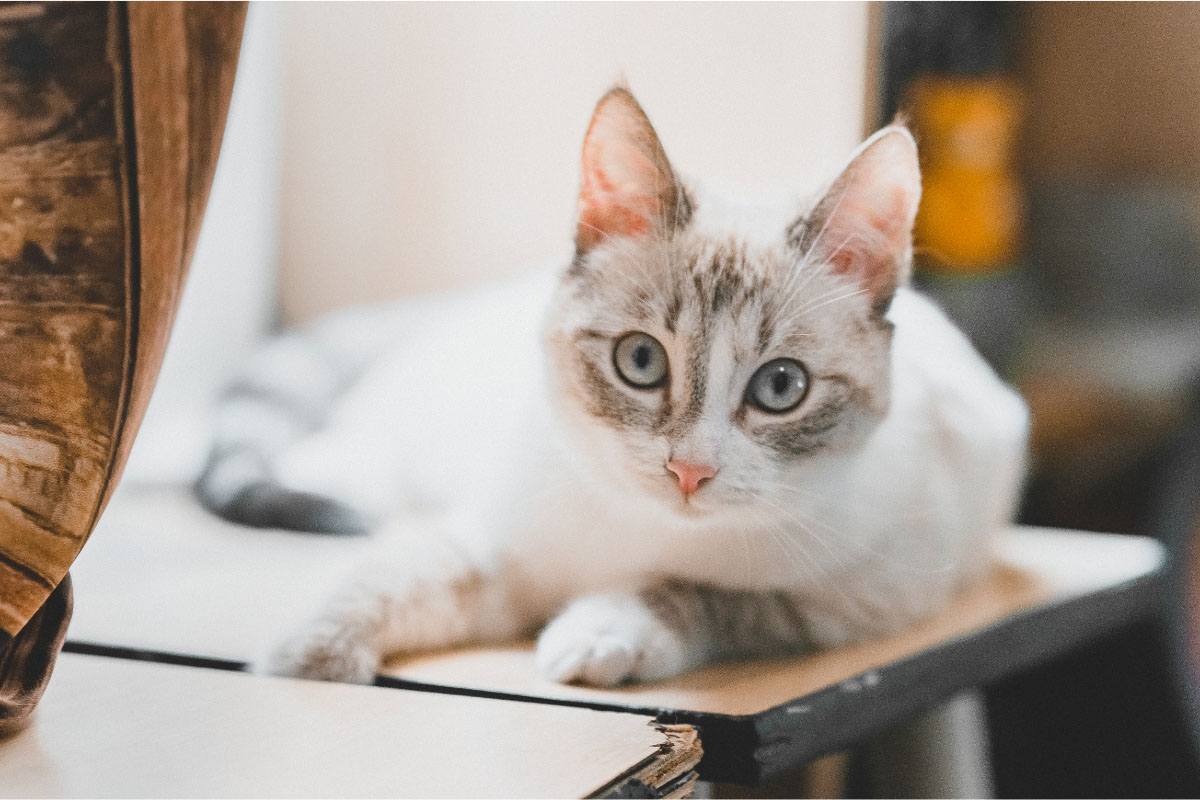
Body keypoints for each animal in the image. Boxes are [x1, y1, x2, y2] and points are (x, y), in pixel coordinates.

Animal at [196, 87, 1032, 690]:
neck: (639, 523)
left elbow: (694, 590)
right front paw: (308, 656)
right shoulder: (499, 543)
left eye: (781, 386)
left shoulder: (851, 601)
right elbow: (397, 575)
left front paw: (604, 630)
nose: (688, 471)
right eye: (641, 362)